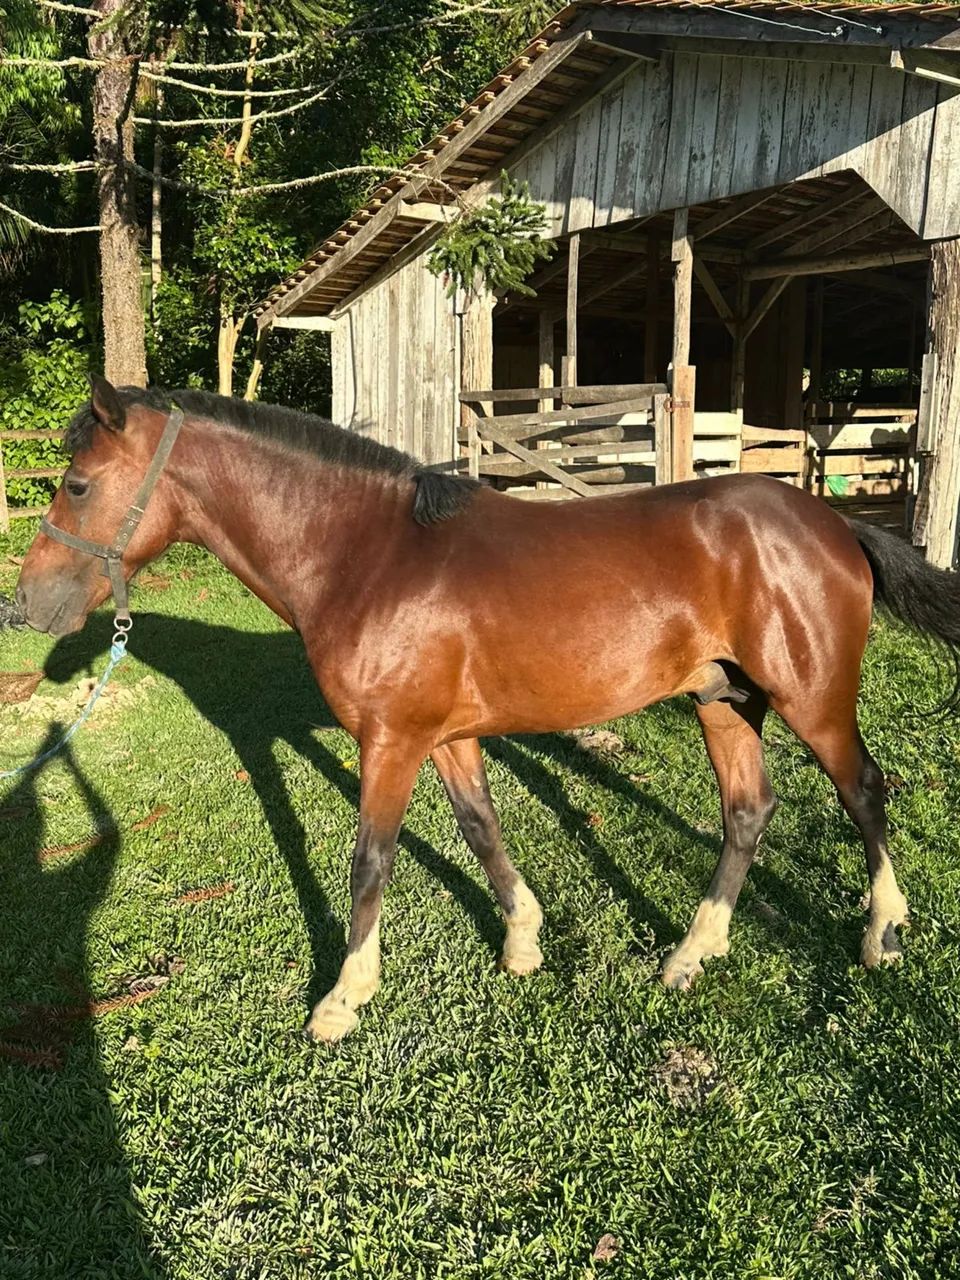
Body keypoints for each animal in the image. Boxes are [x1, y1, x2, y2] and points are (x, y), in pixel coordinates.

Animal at [14, 375, 960, 1042]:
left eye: (77, 485)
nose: (26, 609)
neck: (367, 556)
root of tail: (831, 525)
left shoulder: (390, 742)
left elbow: (370, 862)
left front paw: (343, 999)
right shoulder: (444, 738)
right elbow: (480, 829)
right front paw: (524, 942)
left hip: (812, 700)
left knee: (864, 792)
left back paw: (883, 934)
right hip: (725, 700)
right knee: (747, 812)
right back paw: (692, 955)